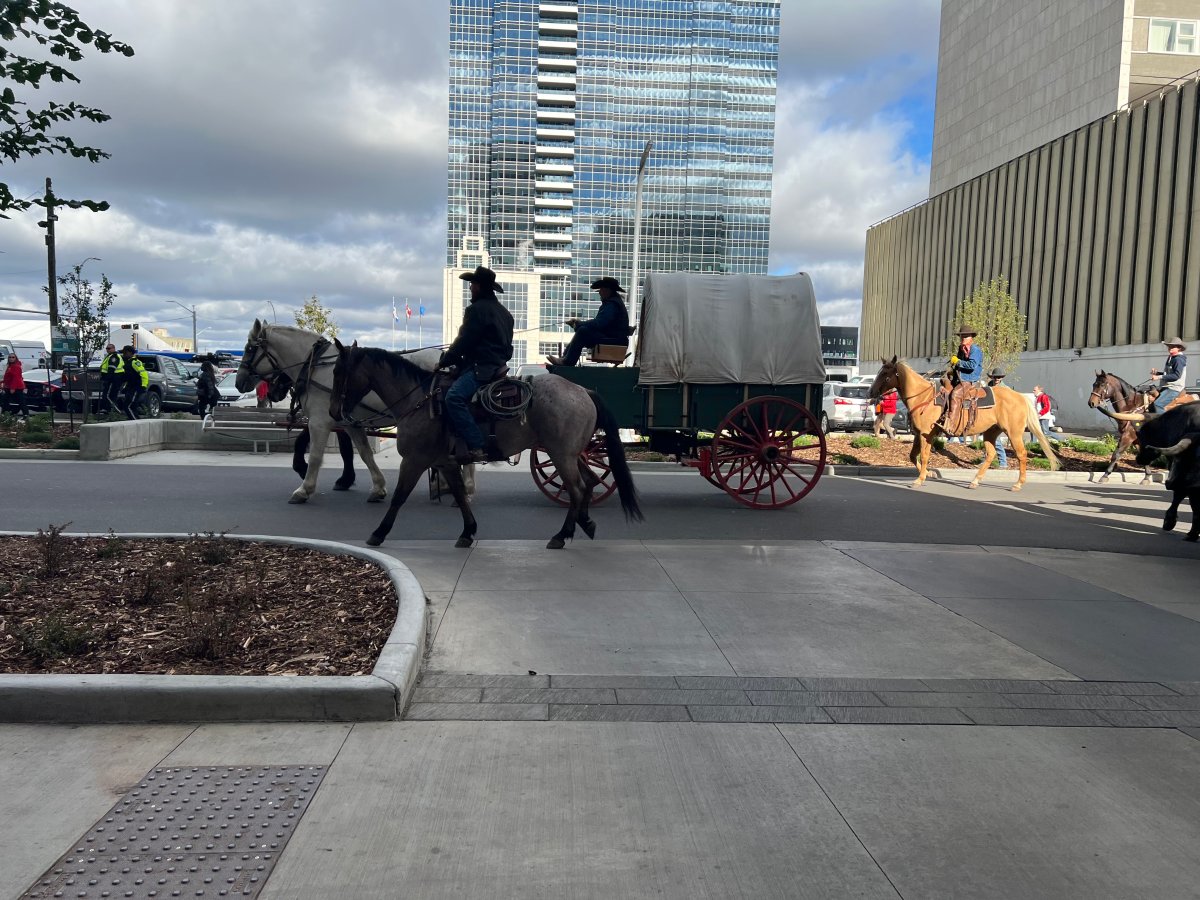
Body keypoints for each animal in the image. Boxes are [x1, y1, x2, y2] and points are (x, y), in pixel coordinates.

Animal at [328, 340, 648, 547]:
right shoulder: (444, 462)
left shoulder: (415, 460)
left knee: (578, 488)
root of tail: (584, 391)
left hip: (561, 454)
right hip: (571, 454)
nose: (333, 413)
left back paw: (562, 535)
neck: (418, 400)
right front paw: (468, 531)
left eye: (337, 372)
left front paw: (379, 532)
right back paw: (584, 523)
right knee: (589, 483)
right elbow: (459, 495)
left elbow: (399, 497)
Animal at [873, 355, 1060, 489]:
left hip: (1013, 433)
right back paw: (975, 481)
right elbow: (913, 456)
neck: (923, 397)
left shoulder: (927, 434)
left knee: (1021, 454)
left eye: (885, 374)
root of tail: (1021, 397)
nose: (871, 392)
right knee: (991, 454)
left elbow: (924, 456)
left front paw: (920, 479)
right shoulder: (919, 433)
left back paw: (1018, 484)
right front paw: (928, 475)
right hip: (991, 431)